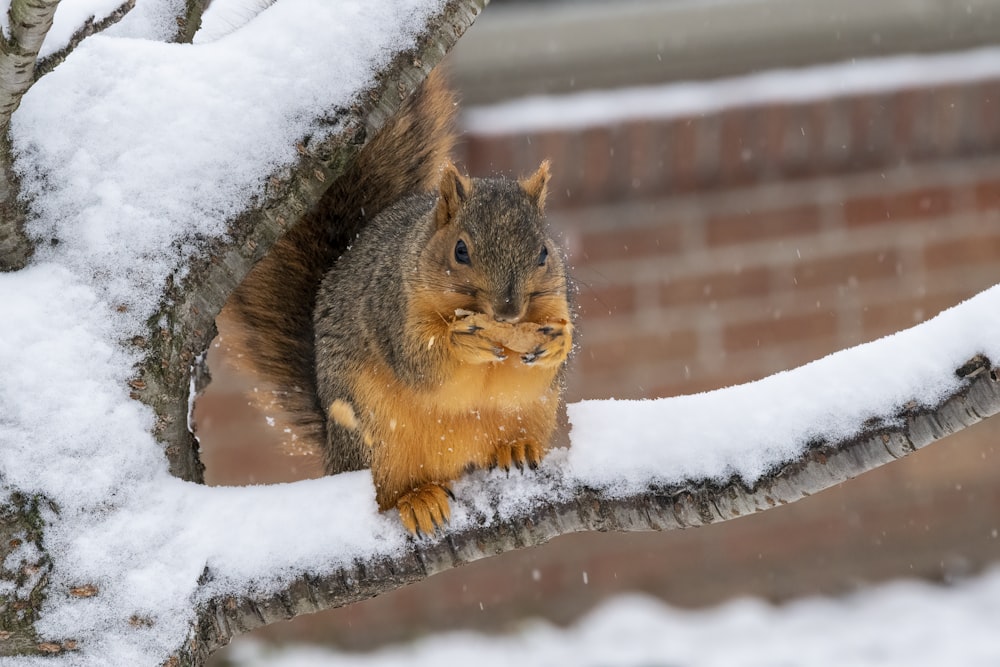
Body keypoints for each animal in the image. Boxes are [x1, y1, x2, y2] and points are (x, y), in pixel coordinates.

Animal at [223, 70, 576, 536]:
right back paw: (417, 499)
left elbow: (534, 371)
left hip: (531, 414)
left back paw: (514, 448)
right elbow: (419, 362)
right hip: (373, 437)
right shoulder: (391, 307)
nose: (507, 311)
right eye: (460, 251)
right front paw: (460, 341)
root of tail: (333, 455)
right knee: (387, 490)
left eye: (543, 253)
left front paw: (556, 344)